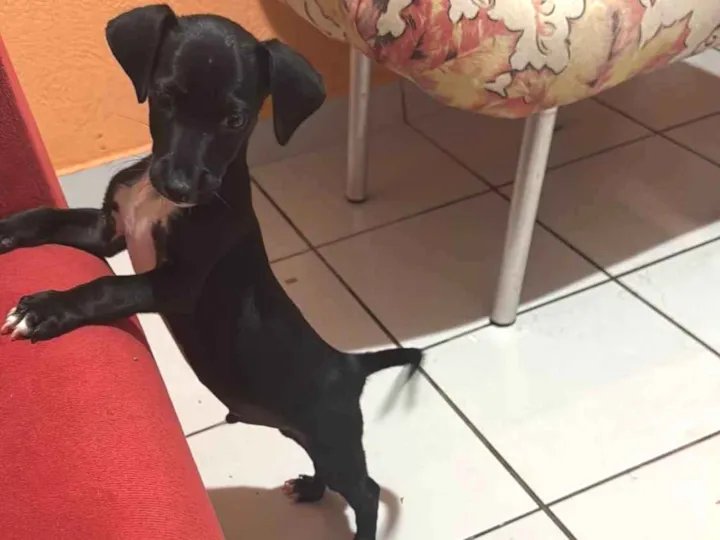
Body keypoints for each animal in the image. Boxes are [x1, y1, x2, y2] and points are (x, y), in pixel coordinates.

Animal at [0, 5, 422, 539]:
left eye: (235, 119)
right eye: (165, 97)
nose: (179, 185)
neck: (158, 203)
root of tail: (347, 363)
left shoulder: (177, 284)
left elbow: (106, 286)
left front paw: (45, 309)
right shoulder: (107, 231)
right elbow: (44, 219)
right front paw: (4, 230)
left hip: (334, 437)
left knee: (365, 491)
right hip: (300, 430)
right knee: (333, 473)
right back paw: (308, 489)